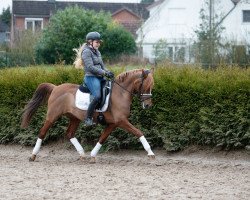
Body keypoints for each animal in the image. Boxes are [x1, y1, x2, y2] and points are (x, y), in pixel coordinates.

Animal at [21, 69, 154, 162]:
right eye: (146, 86)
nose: (148, 105)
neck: (120, 93)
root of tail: (55, 88)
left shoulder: (113, 123)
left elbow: (102, 138)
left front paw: (93, 155)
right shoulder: (121, 121)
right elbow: (138, 132)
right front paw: (150, 153)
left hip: (74, 118)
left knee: (69, 134)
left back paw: (82, 154)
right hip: (52, 116)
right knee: (42, 132)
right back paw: (33, 155)